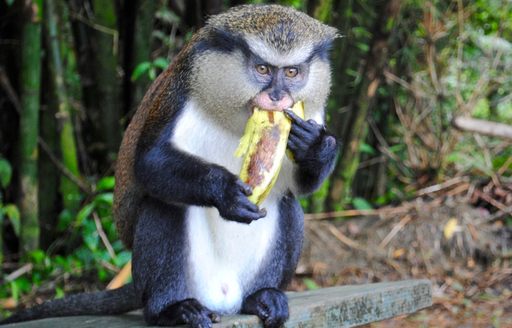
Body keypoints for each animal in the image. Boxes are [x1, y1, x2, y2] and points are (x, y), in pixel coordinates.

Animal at [3, 5, 340, 328]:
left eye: (293, 72)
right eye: (262, 69)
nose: (278, 96)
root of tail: (224, 297)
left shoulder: (311, 113)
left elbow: (301, 186)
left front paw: (314, 147)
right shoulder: (180, 94)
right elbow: (150, 163)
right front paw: (225, 192)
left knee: (288, 204)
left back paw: (262, 297)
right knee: (164, 204)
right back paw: (172, 310)